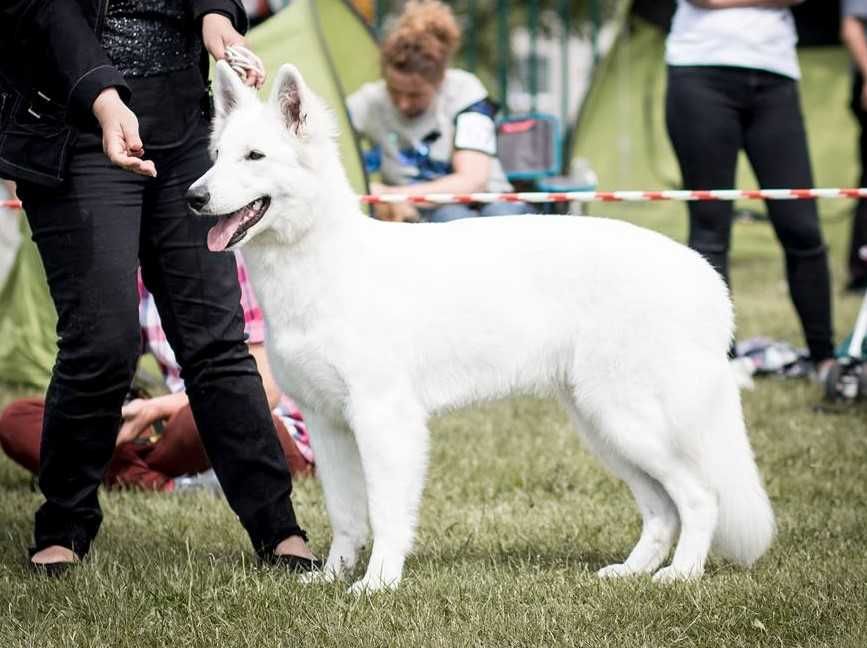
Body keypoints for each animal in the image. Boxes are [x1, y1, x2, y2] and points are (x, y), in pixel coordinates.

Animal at [186, 60, 776, 592]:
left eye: (255, 156)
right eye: (216, 157)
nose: (192, 197)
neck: (319, 260)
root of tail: (702, 275)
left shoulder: (384, 420)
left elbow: (385, 513)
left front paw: (377, 584)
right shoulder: (327, 423)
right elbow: (348, 516)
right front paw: (333, 578)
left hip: (628, 420)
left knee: (699, 496)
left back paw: (681, 575)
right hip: (604, 427)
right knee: (661, 509)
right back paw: (632, 572)